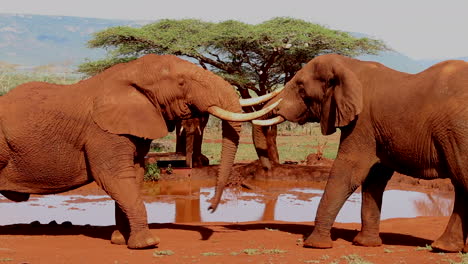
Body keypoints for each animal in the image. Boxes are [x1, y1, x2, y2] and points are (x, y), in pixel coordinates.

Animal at [0, 54, 280, 249]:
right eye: (182, 82)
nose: (211, 208)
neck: (131, 72)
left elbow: (133, 175)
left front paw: (120, 240)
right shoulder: (102, 132)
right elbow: (114, 177)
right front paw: (147, 243)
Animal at [256, 53, 468, 252]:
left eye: (301, 87)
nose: (267, 169)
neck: (349, 64)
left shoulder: (362, 123)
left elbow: (347, 172)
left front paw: (314, 245)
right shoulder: (376, 131)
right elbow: (374, 179)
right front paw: (366, 244)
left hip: (457, 132)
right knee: (461, 186)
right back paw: (446, 247)